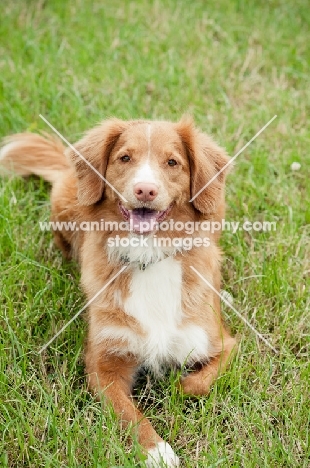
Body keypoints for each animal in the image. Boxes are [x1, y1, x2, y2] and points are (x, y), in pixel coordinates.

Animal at [1, 118, 236, 468]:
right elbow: (127, 412)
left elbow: (199, 383)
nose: (145, 190)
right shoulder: (103, 365)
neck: (148, 255)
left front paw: (179, 386)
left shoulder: (222, 342)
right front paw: (156, 451)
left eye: (172, 162)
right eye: (125, 158)